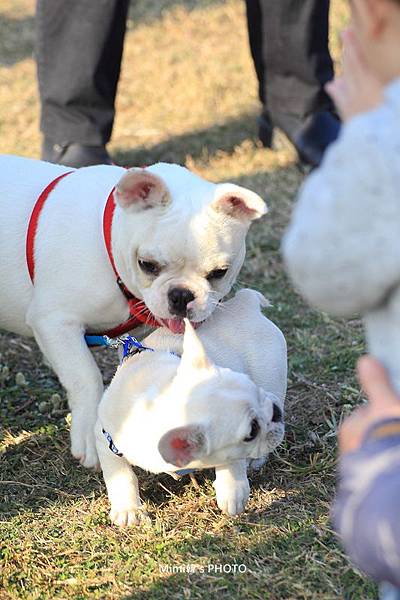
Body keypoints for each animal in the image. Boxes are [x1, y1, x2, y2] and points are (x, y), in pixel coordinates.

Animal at [0, 155, 268, 468]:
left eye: (219, 273)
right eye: (147, 264)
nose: (181, 295)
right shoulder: (55, 323)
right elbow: (86, 377)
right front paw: (90, 435)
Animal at [95, 288, 286, 528]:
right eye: (252, 432)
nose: (276, 412)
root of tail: (244, 302)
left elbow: (232, 461)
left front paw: (233, 492)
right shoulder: (106, 439)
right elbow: (120, 474)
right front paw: (128, 509)